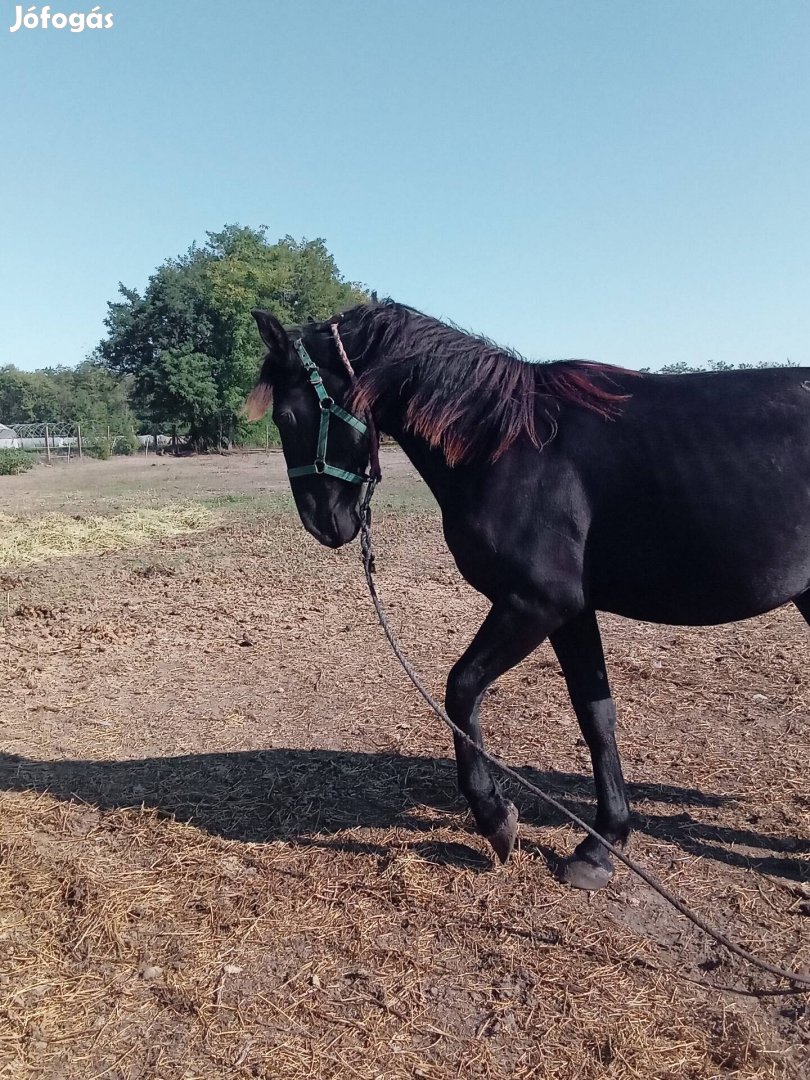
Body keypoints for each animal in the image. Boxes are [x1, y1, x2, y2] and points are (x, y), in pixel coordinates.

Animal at [249, 300, 810, 889]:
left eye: (286, 418)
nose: (323, 524)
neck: (509, 444)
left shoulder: (535, 605)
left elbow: (461, 690)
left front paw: (495, 817)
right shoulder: (571, 613)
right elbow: (596, 717)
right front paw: (602, 844)